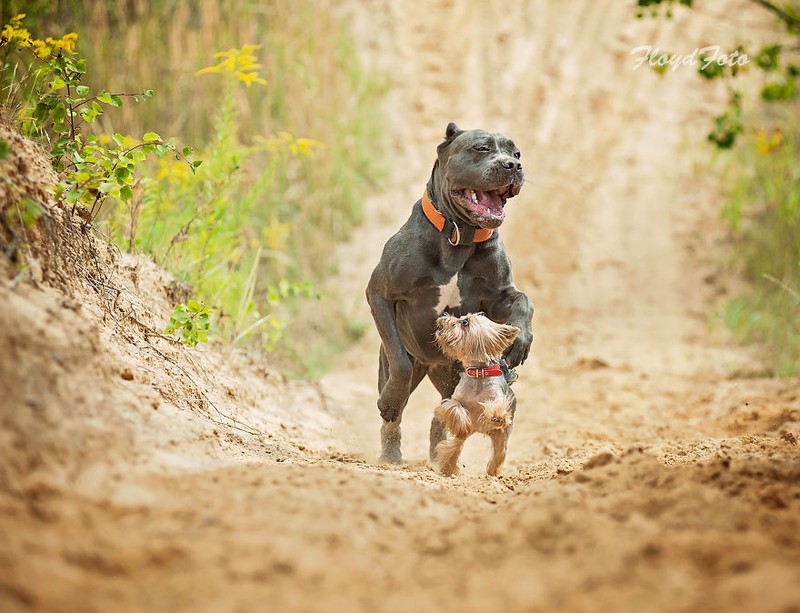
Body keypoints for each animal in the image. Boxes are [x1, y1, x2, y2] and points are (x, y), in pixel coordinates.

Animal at [434, 314, 520, 476]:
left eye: (464, 322)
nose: (444, 318)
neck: (479, 374)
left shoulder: (497, 397)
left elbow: (495, 405)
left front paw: (498, 417)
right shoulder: (455, 400)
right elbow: (455, 407)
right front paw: (462, 422)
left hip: (501, 439)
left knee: (498, 455)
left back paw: (492, 474)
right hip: (462, 438)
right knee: (453, 448)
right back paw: (448, 469)